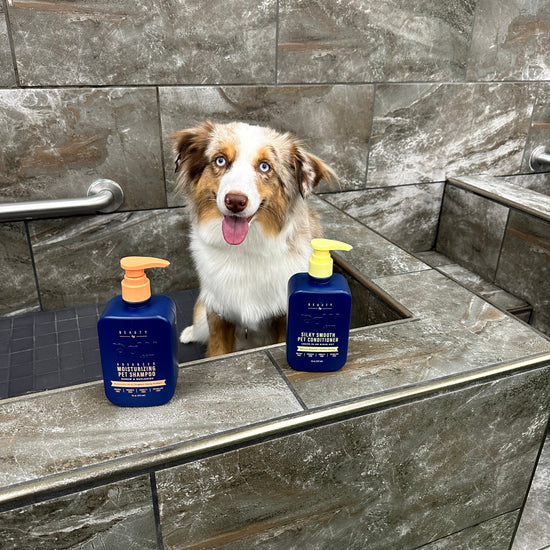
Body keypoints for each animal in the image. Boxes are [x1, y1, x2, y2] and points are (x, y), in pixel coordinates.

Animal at [171, 121, 336, 357]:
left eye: (265, 166)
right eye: (220, 160)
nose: (235, 201)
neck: (246, 249)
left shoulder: (284, 314)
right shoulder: (218, 311)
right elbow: (218, 349)